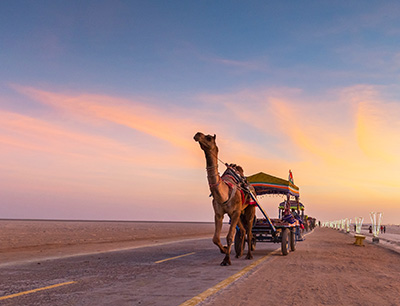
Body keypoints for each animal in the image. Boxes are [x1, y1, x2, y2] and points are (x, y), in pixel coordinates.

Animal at [194, 131, 256, 266]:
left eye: (209, 138)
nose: (197, 134)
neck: (224, 194)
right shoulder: (219, 213)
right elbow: (215, 238)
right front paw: (224, 250)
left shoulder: (235, 211)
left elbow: (229, 236)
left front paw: (226, 260)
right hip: (239, 213)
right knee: (243, 231)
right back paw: (239, 253)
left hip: (250, 208)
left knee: (249, 232)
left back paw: (249, 255)